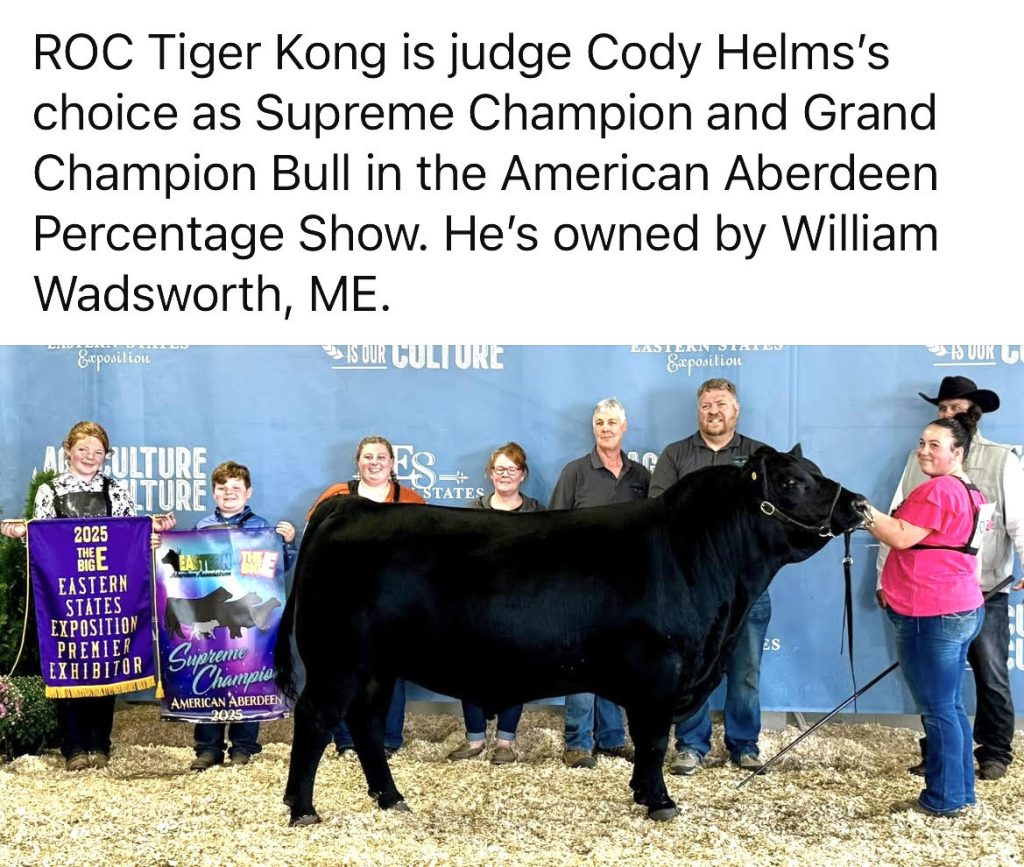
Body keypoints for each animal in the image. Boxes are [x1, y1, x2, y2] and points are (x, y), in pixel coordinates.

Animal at [274, 445, 866, 825]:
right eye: (791, 482)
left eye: (815, 470)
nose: (858, 503)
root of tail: (350, 506)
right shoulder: (660, 674)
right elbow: (654, 741)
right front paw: (660, 802)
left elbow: (648, 743)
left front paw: (642, 793)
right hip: (337, 662)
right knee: (317, 719)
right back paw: (303, 810)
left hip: (376, 667)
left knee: (366, 725)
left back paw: (390, 798)